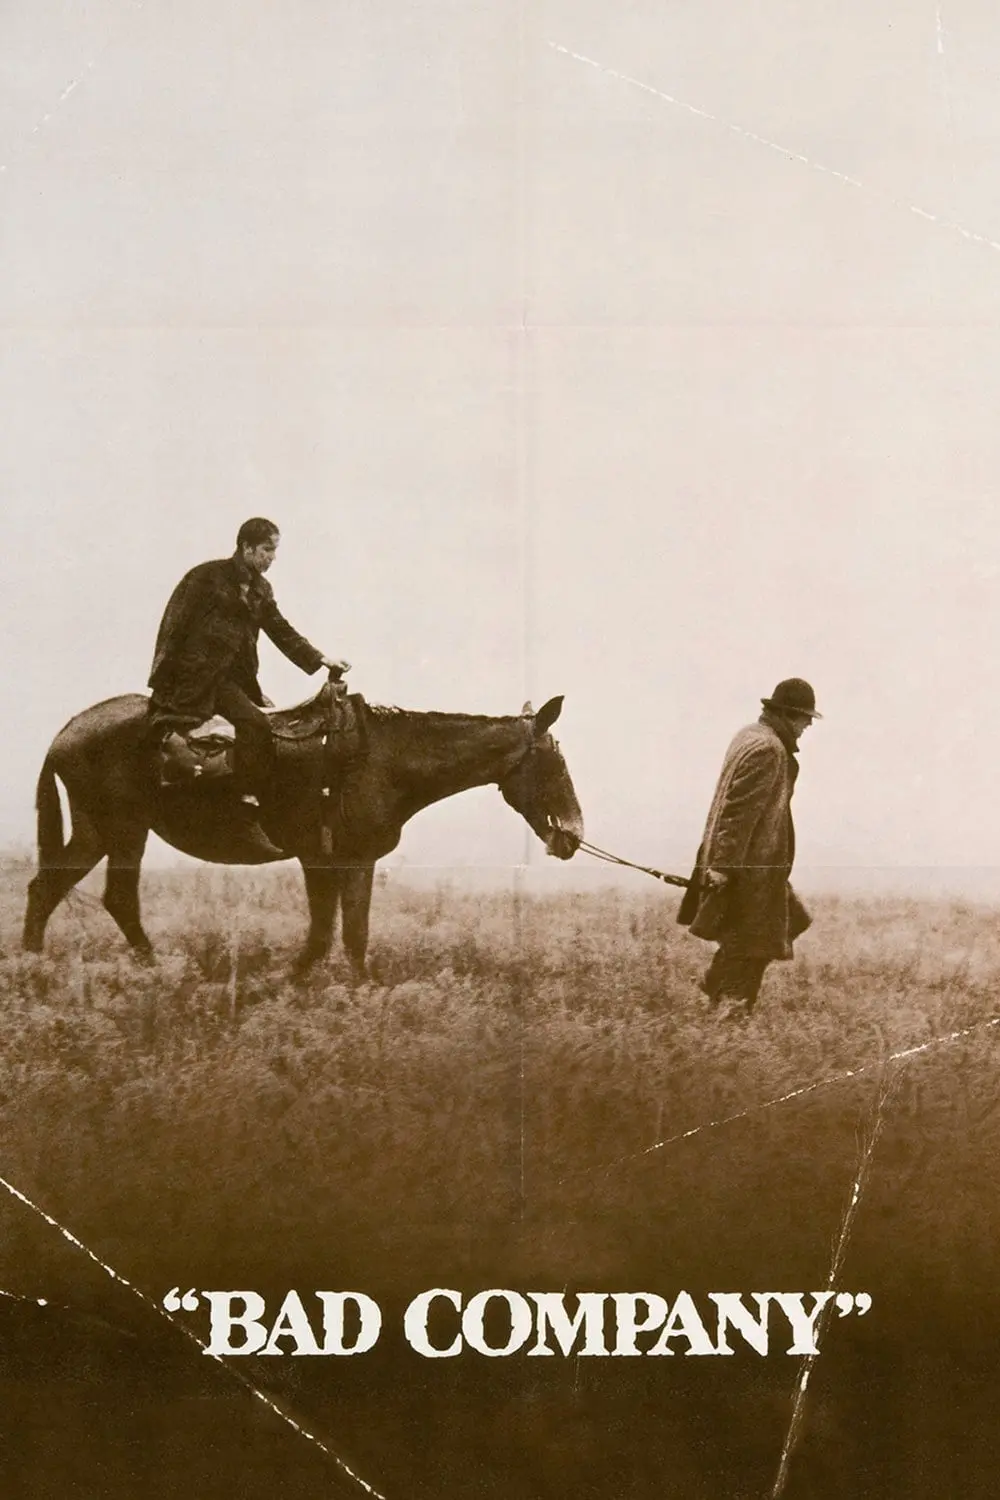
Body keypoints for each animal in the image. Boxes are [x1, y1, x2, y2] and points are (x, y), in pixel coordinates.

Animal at [21, 684, 587, 984]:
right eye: (554, 764)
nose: (573, 836)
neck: (380, 760)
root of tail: (68, 730)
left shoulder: (357, 860)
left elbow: (353, 935)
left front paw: (357, 994)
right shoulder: (319, 858)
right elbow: (325, 935)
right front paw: (288, 986)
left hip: (101, 832)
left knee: (52, 889)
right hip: (122, 830)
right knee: (110, 896)